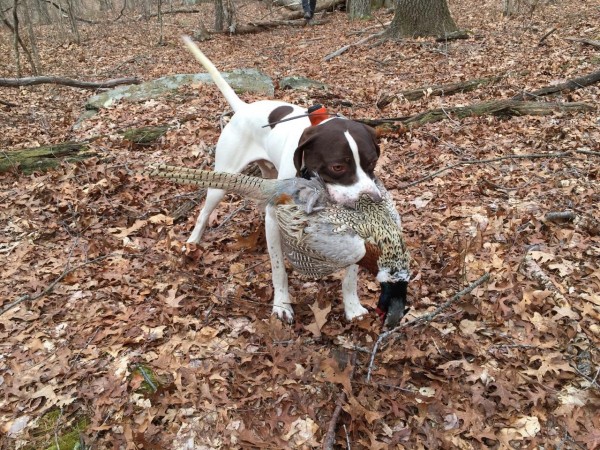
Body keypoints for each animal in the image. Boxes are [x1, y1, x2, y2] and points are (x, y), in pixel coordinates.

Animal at [180, 37, 382, 322]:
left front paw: (352, 306)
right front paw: (282, 305)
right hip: (221, 182)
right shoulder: (275, 223)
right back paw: (192, 242)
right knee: (203, 214)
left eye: (372, 162)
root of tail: (244, 108)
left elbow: (351, 274)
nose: (373, 200)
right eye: (338, 166)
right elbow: (279, 270)